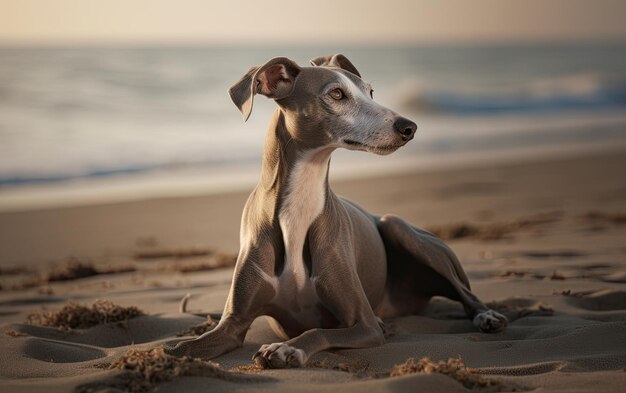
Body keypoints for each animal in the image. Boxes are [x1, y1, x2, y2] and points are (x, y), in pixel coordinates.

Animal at [167, 53, 508, 366]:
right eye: (336, 94)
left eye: (370, 91)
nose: (409, 127)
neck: (298, 209)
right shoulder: (232, 325)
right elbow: (185, 348)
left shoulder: (365, 324)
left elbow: (318, 331)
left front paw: (286, 349)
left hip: (400, 228)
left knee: (467, 294)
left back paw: (488, 317)